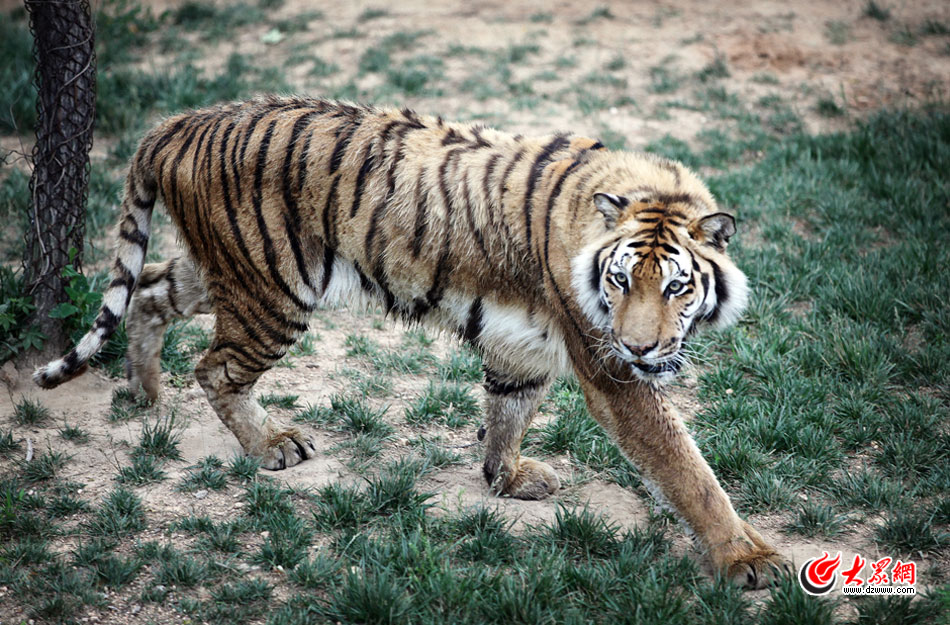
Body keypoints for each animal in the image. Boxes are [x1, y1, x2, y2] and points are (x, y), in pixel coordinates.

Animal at [33, 95, 792, 588]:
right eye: (621, 279)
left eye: (677, 287)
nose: (640, 348)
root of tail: (181, 122)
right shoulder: (612, 375)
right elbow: (687, 469)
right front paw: (747, 559)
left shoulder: (525, 346)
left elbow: (508, 407)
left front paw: (506, 477)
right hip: (273, 290)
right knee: (216, 367)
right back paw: (270, 444)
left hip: (225, 272)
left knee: (150, 290)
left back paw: (145, 392)